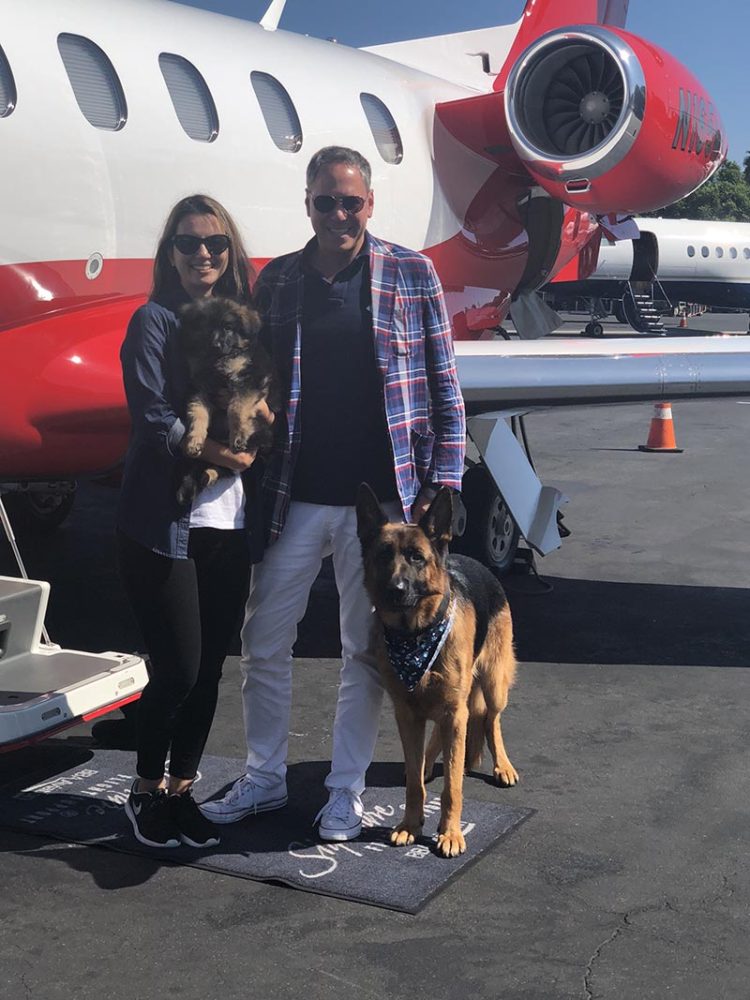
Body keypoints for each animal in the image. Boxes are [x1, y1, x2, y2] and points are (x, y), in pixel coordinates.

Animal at [177, 292, 276, 504]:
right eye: (206, 326)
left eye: (228, 327)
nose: (215, 345)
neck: (218, 361)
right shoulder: (200, 389)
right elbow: (198, 413)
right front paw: (194, 440)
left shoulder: (250, 381)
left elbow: (236, 408)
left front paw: (238, 435)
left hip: (261, 435)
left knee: (227, 467)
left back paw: (209, 474)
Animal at [356, 484, 520, 860]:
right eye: (383, 555)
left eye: (416, 557)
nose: (396, 590)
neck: (416, 634)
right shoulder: (407, 714)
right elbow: (415, 782)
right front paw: (410, 824)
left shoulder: (454, 713)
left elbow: (453, 786)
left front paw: (450, 833)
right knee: (437, 742)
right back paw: (431, 761)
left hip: (493, 684)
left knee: (492, 720)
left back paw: (502, 765)